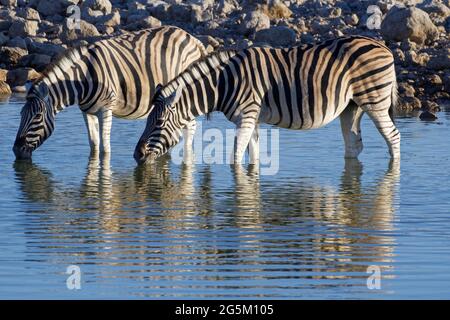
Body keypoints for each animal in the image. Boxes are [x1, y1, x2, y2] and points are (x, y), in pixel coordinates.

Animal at [12, 26, 206, 160]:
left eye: (37, 116)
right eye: (20, 115)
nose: (16, 150)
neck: (82, 80)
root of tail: (193, 39)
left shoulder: (106, 109)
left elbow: (105, 149)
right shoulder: (87, 112)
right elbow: (94, 145)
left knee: (190, 128)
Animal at [134, 36, 400, 164]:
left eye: (158, 123)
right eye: (146, 122)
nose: (137, 155)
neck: (223, 83)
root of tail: (382, 45)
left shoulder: (247, 116)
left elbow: (235, 156)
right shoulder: (253, 119)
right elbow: (254, 155)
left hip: (375, 100)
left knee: (393, 137)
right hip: (352, 106)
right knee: (354, 145)